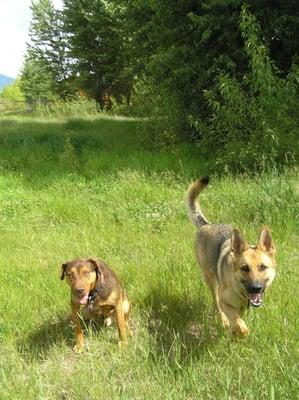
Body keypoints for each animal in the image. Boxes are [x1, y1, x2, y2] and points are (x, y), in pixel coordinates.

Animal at [186, 177, 278, 336]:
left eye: (263, 267)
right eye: (245, 268)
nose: (256, 288)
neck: (241, 292)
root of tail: (206, 225)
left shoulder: (242, 307)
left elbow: (239, 321)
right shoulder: (226, 302)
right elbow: (241, 326)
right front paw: (237, 331)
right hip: (211, 281)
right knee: (216, 303)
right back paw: (223, 321)